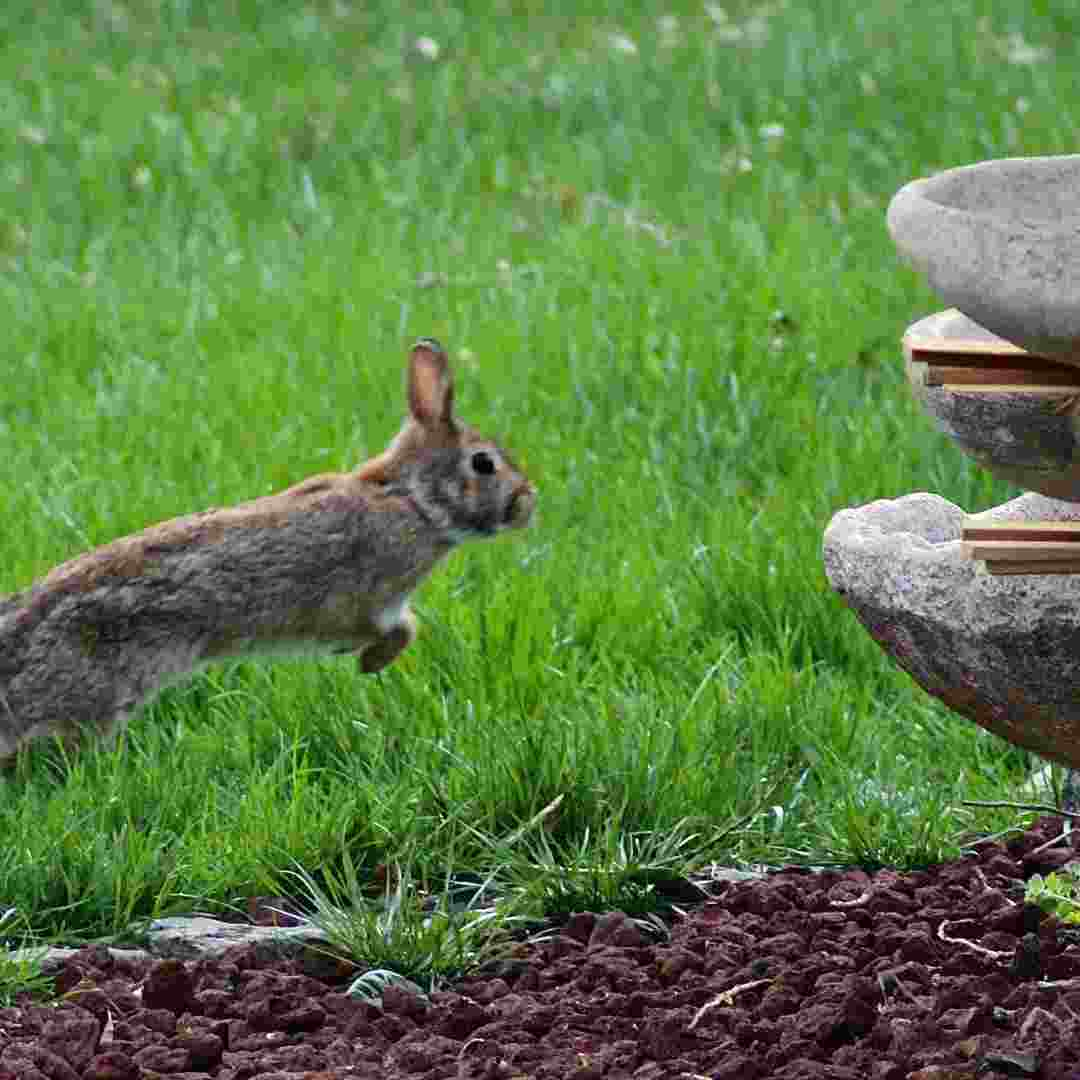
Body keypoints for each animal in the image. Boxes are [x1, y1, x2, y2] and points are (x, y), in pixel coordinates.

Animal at [0, 336, 537, 760]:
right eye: (484, 463)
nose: (528, 503)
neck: (411, 500)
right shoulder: (362, 601)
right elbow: (402, 628)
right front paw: (368, 661)